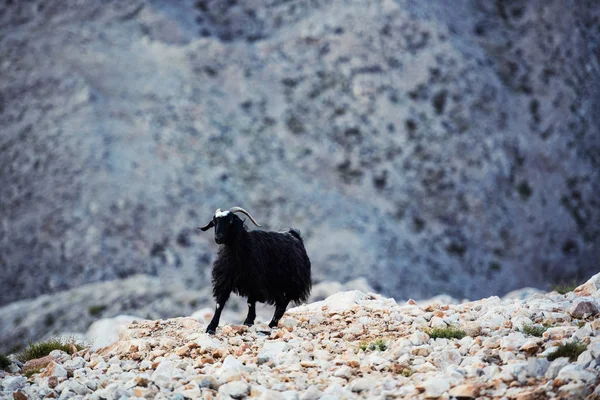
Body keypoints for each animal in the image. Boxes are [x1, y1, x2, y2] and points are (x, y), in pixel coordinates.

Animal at [198, 206, 312, 334]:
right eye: (214, 222)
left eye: (230, 221)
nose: (218, 238)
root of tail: (295, 235)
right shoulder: (225, 279)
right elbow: (220, 303)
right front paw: (211, 327)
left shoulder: (254, 281)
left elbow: (250, 302)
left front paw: (248, 321)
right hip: (277, 285)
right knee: (281, 302)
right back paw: (272, 323)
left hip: (291, 282)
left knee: (283, 302)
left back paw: (272, 324)